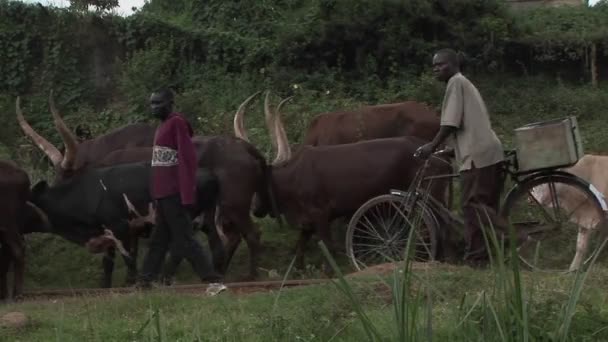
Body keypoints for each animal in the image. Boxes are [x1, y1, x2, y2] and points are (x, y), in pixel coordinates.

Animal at [238, 93, 452, 270]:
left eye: (257, 182)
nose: (254, 209)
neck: (293, 176)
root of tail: (440, 159)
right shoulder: (307, 221)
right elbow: (300, 248)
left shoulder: (322, 215)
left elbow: (329, 248)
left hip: (431, 197)